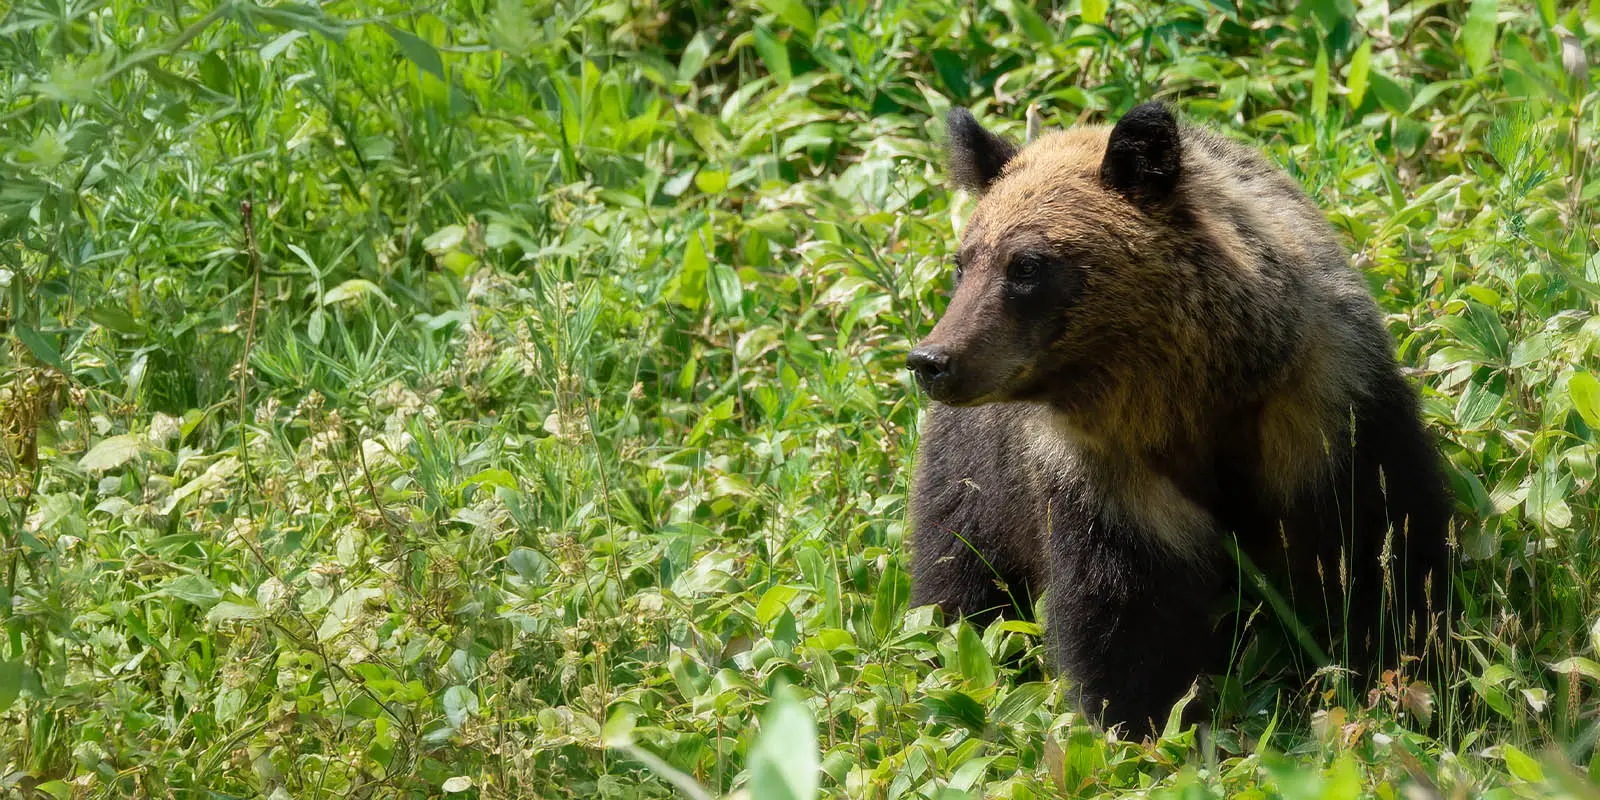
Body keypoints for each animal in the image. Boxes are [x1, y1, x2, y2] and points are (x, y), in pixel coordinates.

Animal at [904, 102, 1453, 738]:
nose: (932, 360)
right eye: (963, 261)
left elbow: (1386, 548)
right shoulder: (1109, 475)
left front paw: (1410, 678)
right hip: (979, 474)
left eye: (1028, 265)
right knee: (958, 566)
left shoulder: (1325, 415)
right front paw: (1148, 721)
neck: (1192, 398)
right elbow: (1126, 609)